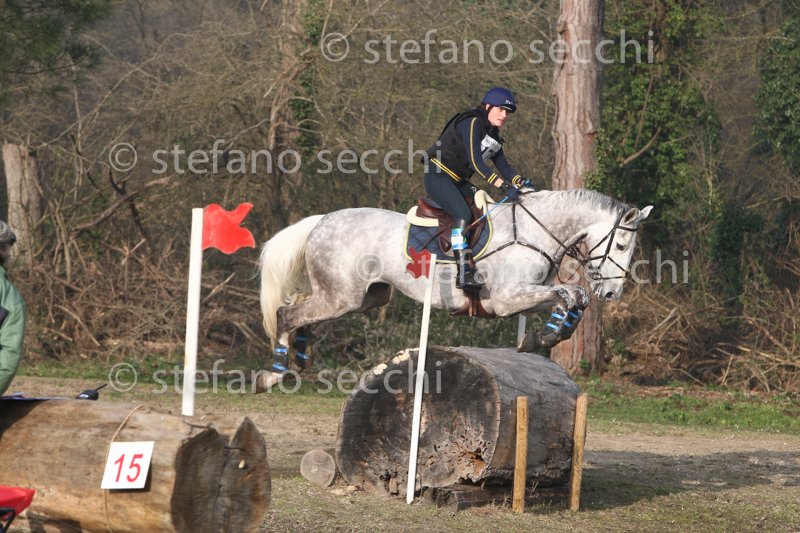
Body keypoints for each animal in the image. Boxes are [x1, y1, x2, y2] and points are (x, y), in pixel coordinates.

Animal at [257, 188, 652, 388]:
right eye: (620, 245)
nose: (613, 294)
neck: (534, 231)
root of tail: (321, 220)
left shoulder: (526, 295)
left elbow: (575, 298)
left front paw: (543, 337)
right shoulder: (507, 300)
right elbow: (569, 294)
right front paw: (546, 335)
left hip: (361, 298)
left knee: (300, 307)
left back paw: (300, 355)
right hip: (342, 296)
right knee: (286, 312)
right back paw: (273, 374)